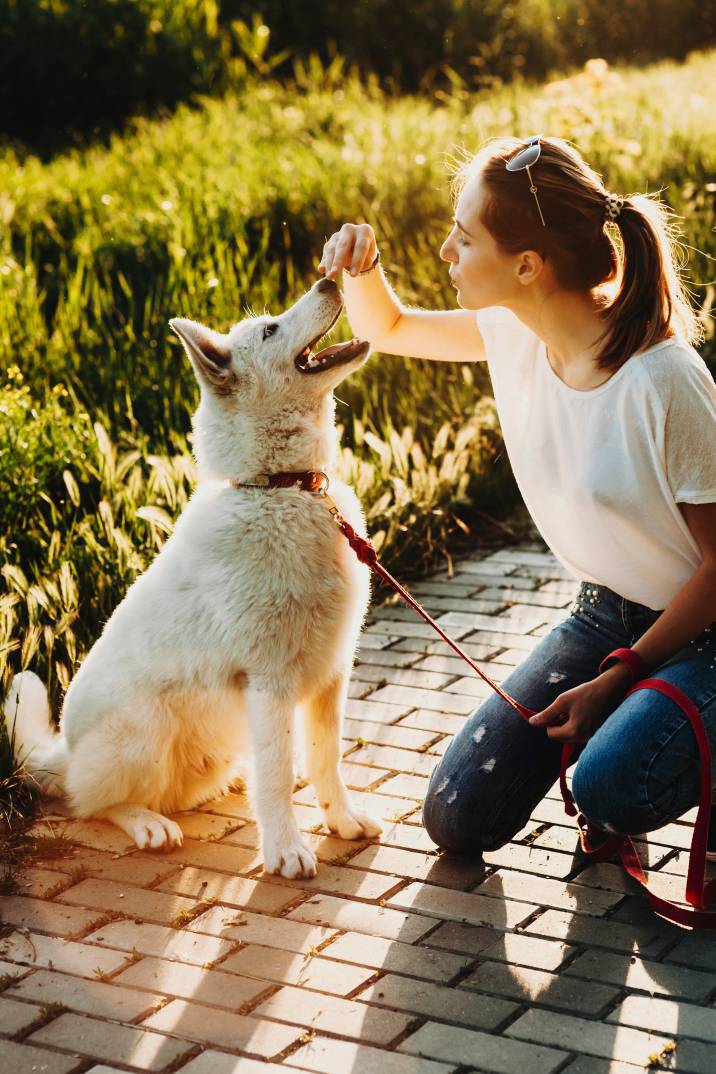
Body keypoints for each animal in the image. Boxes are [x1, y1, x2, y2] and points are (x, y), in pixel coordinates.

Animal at [5, 277, 384, 880]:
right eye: (270, 330)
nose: (329, 280)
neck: (281, 487)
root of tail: (63, 752)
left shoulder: (331, 676)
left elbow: (328, 758)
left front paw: (342, 821)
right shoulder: (270, 682)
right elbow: (278, 775)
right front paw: (286, 849)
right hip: (144, 732)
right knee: (92, 803)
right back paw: (146, 824)